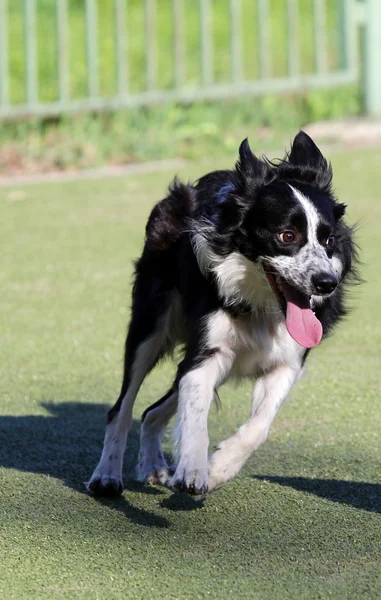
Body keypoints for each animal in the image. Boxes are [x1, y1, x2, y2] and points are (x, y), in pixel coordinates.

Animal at [88, 131, 356, 496]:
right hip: (149, 327)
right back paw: (106, 475)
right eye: (287, 236)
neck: (263, 304)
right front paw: (193, 471)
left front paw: (218, 468)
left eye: (328, 239)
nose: (326, 283)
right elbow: (196, 414)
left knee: (152, 411)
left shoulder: (286, 361)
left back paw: (154, 466)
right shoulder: (206, 354)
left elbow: (259, 427)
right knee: (122, 407)